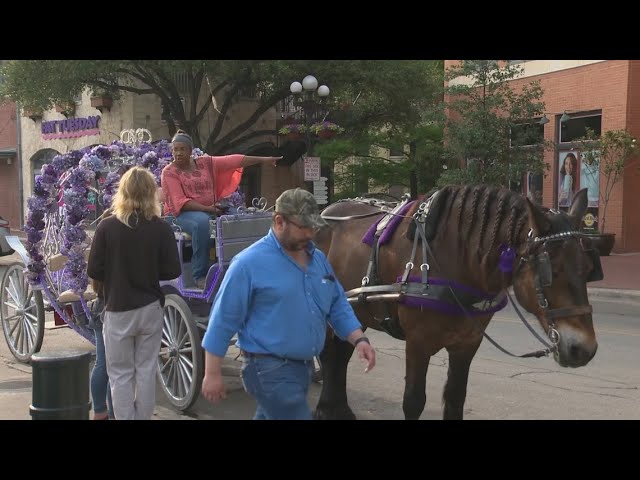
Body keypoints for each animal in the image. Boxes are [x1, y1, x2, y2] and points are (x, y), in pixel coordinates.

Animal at [316, 186, 600, 418]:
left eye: (588, 269)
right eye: (552, 272)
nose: (584, 349)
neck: (456, 261)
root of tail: (324, 215)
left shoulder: (467, 343)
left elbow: (455, 399)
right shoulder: (417, 342)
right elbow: (413, 402)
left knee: (341, 353)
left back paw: (339, 408)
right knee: (328, 354)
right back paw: (325, 407)